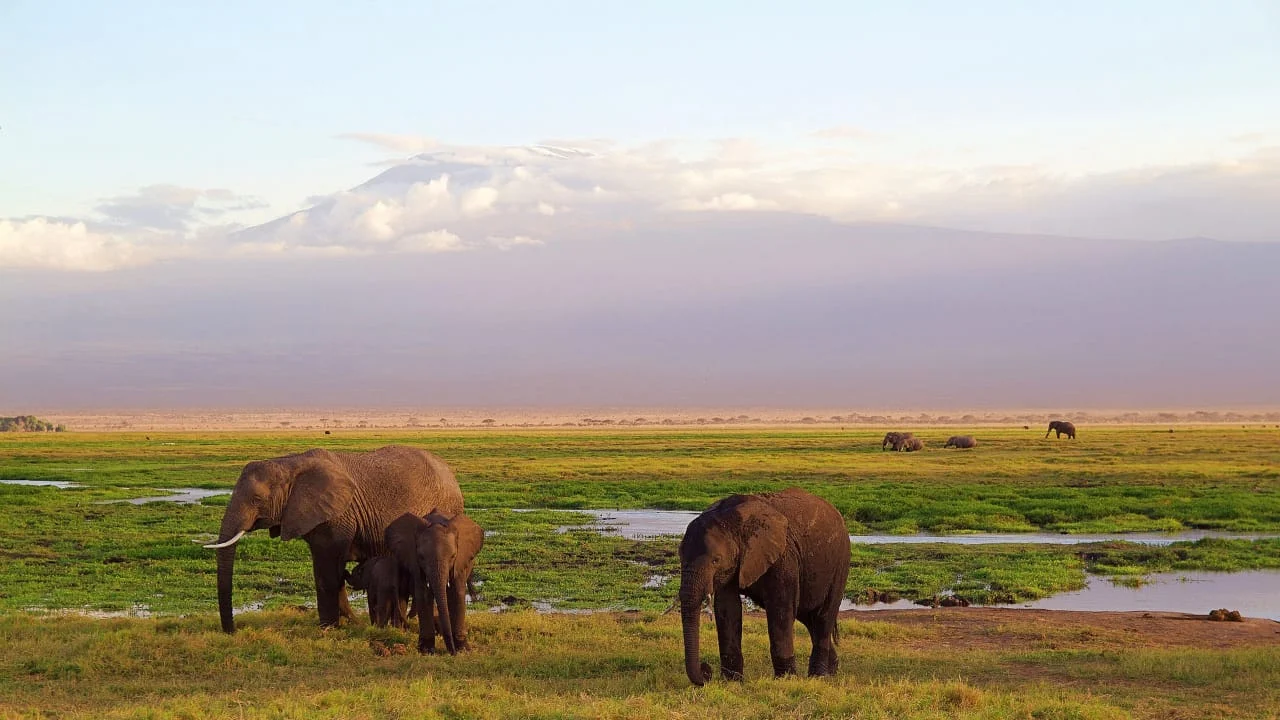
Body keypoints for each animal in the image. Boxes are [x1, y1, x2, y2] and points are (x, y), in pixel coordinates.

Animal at [204, 445, 465, 633]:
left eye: (257, 499)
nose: (232, 631)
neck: (289, 463)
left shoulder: (337, 516)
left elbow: (328, 571)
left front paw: (328, 629)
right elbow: (325, 572)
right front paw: (342, 623)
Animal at [386, 510, 484, 655]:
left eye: (453, 556)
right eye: (421, 557)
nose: (452, 653)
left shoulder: (460, 562)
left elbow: (457, 593)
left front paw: (463, 649)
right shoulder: (416, 564)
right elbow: (424, 595)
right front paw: (426, 650)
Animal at [678, 487, 851, 686]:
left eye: (716, 560)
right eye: (680, 556)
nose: (707, 670)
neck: (733, 520)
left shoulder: (784, 556)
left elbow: (780, 609)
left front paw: (785, 679)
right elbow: (728, 608)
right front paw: (732, 682)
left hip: (840, 562)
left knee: (823, 616)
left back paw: (819, 677)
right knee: (808, 618)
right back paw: (833, 671)